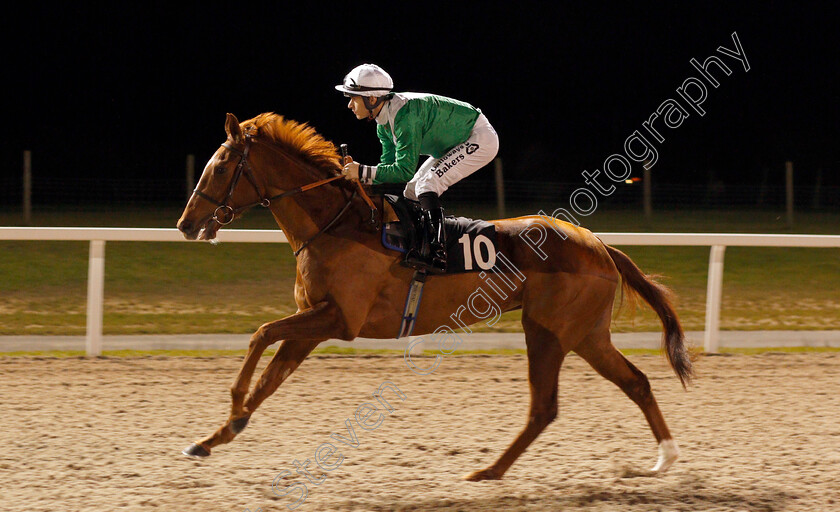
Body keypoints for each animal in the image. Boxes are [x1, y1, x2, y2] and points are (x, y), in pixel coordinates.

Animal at [174, 112, 692, 480]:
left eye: (220, 165)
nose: (186, 224)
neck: (335, 223)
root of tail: (599, 244)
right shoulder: (313, 322)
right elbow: (269, 378)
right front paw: (215, 436)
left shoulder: (339, 320)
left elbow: (260, 334)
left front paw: (233, 405)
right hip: (585, 334)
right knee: (634, 382)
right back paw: (662, 458)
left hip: (548, 330)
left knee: (546, 405)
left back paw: (488, 471)